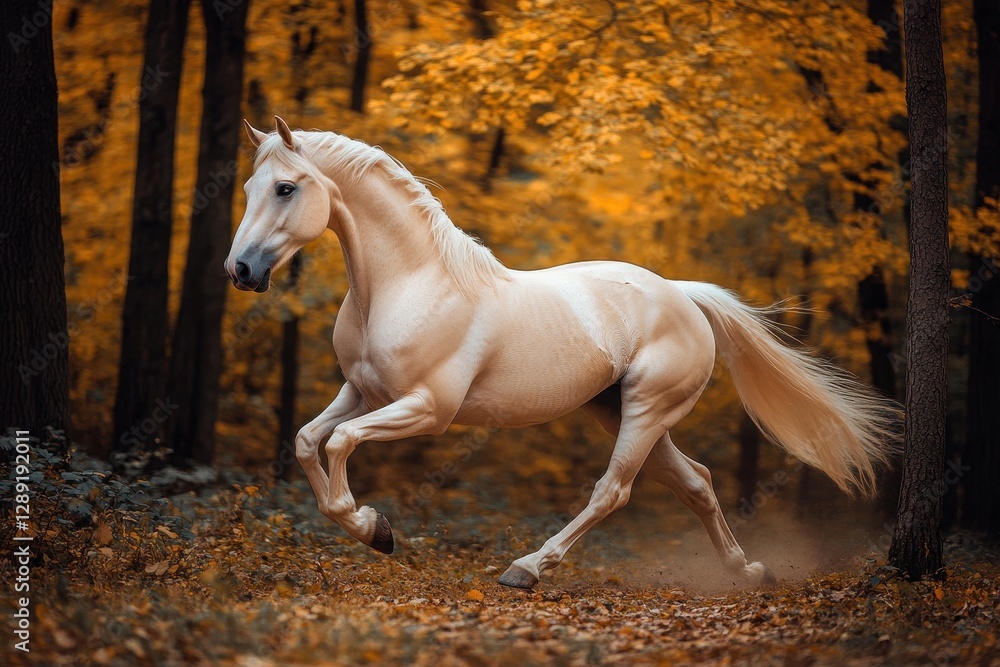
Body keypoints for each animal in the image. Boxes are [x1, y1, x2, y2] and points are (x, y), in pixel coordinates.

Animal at [226, 116, 900, 590]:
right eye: (249, 186)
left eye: (285, 188)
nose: (241, 270)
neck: (411, 284)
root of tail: (681, 294)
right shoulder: (362, 393)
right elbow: (308, 442)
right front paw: (375, 530)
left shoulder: (426, 410)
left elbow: (339, 445)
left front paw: (373, 528)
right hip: (619, 411)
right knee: (697, 483)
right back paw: (748, 572)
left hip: (645, 411)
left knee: (613, 491)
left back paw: (526, 569)